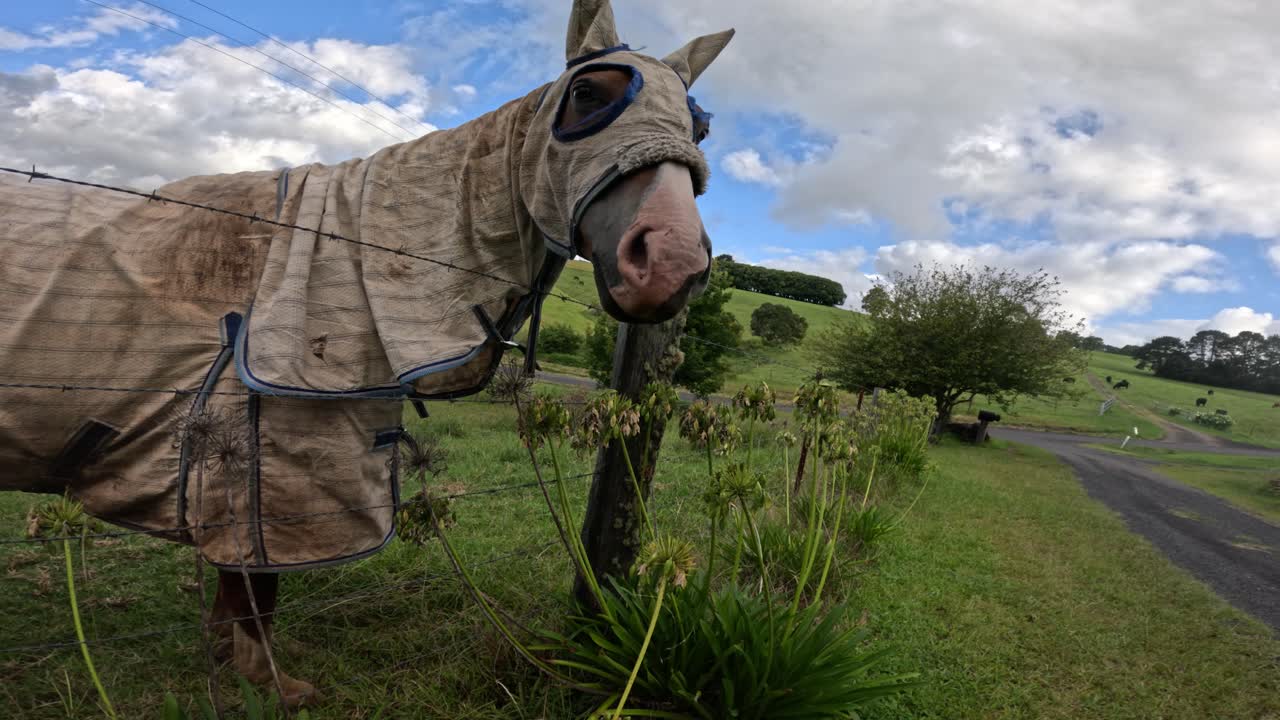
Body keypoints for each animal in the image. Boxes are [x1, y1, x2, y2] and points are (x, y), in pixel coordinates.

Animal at [0, 0, 733, 706]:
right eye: (586, 95)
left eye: (698, 130)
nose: (670, 262)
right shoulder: (261, 474)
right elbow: (255, 592)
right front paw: (270, 684)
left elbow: (240, 597)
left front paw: (234, 667)